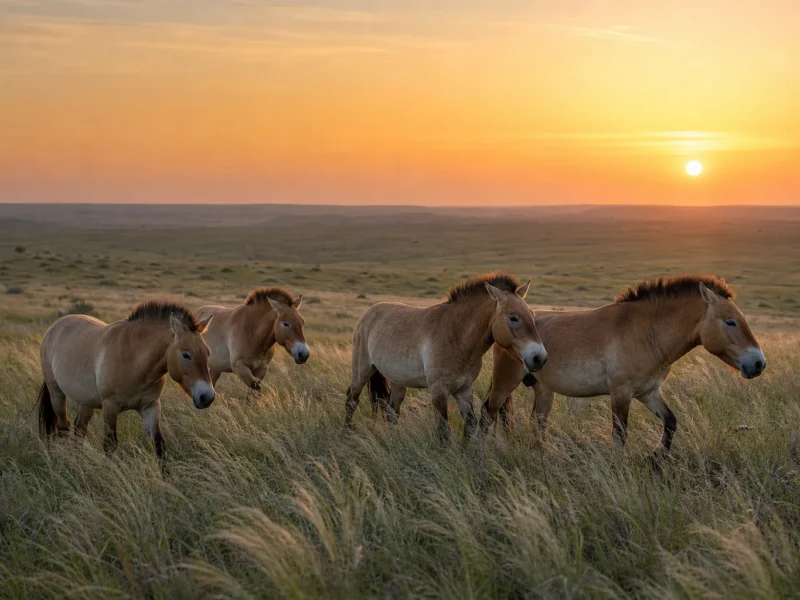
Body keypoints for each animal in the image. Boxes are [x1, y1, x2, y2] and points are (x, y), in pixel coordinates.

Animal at [37, 301, 214, 458]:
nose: (207, 397)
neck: (134, 359)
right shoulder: (110, 407)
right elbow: (110, 445)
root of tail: (54, 327)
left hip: (86, 401)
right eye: (186, 354)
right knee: (63, 427)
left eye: (208, 352)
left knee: (79, 428)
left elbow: (160, 445)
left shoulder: (151, 406)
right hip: (57, 394)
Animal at [345, 272, 548, 440]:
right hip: (362, 371)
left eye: (531, 315)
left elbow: (470, 426)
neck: (456, 337)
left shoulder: (464, 390)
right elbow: (443, 431)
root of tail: (368, 313)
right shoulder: (439, 392)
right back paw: (345, 435)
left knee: (392, 410)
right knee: (351, 400)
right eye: (513, 317)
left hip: (398, 381)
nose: (540, 358)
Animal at [482, 275, 766, 458]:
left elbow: (671, 422)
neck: (647, 332)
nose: (758, 363)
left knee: (537, 423)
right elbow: (620, 435)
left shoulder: (649, 392)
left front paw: (656, 459)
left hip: (542, 390)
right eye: (730, 322)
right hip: (505, 383)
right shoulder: (621, 394)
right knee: (489, 412)